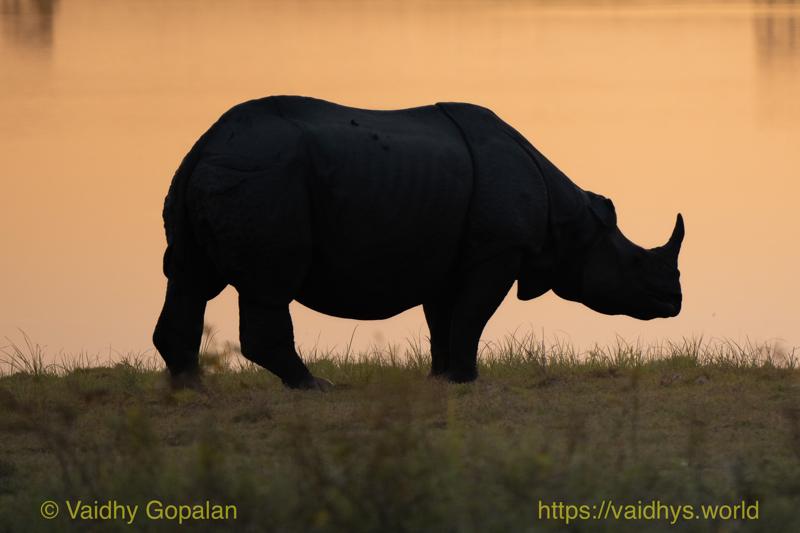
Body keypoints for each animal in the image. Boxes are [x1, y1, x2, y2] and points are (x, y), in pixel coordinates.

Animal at [153, 96, 684, 390]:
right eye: (637, 263)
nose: (674, 301)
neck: (571, 222)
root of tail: (206, 144)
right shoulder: (498, 250)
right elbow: (472, 314)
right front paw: (468, 379)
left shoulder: (448, 252)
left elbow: (444, 319)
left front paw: (443, 377)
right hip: (266, 175)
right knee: (267, 287)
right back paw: (315, 386)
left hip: (216, 172)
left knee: (188, 278)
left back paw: (191, 387)